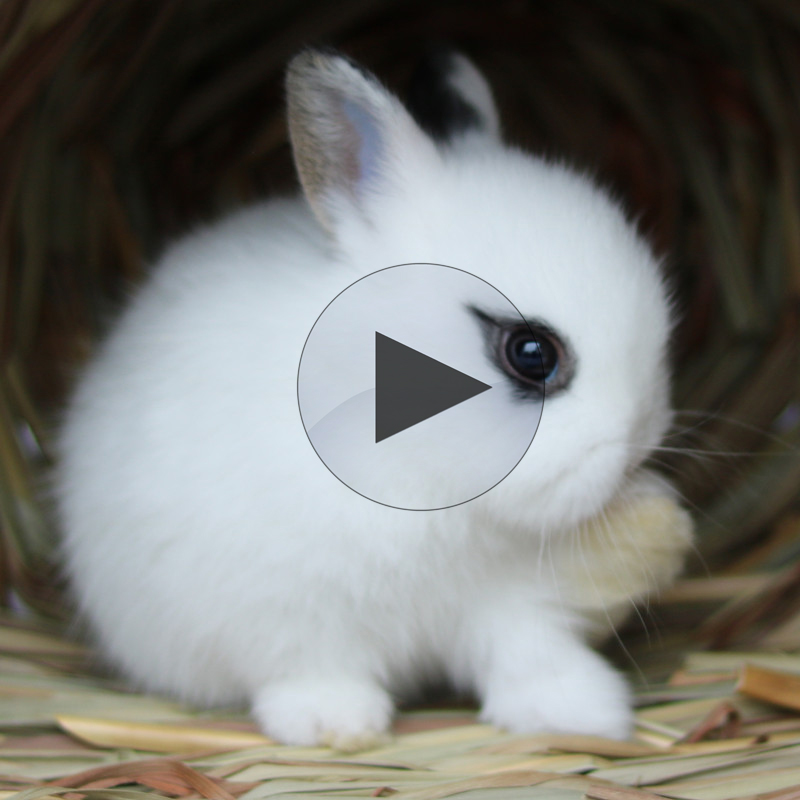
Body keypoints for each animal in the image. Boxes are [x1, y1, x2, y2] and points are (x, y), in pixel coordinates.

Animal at [55, 47, 692, 750]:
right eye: (531, 354)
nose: (637, 448)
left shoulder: (508, 601)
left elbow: (527, 653)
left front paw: (578, 715)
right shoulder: (288, 612)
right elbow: (312, 666)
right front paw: (332, 724)